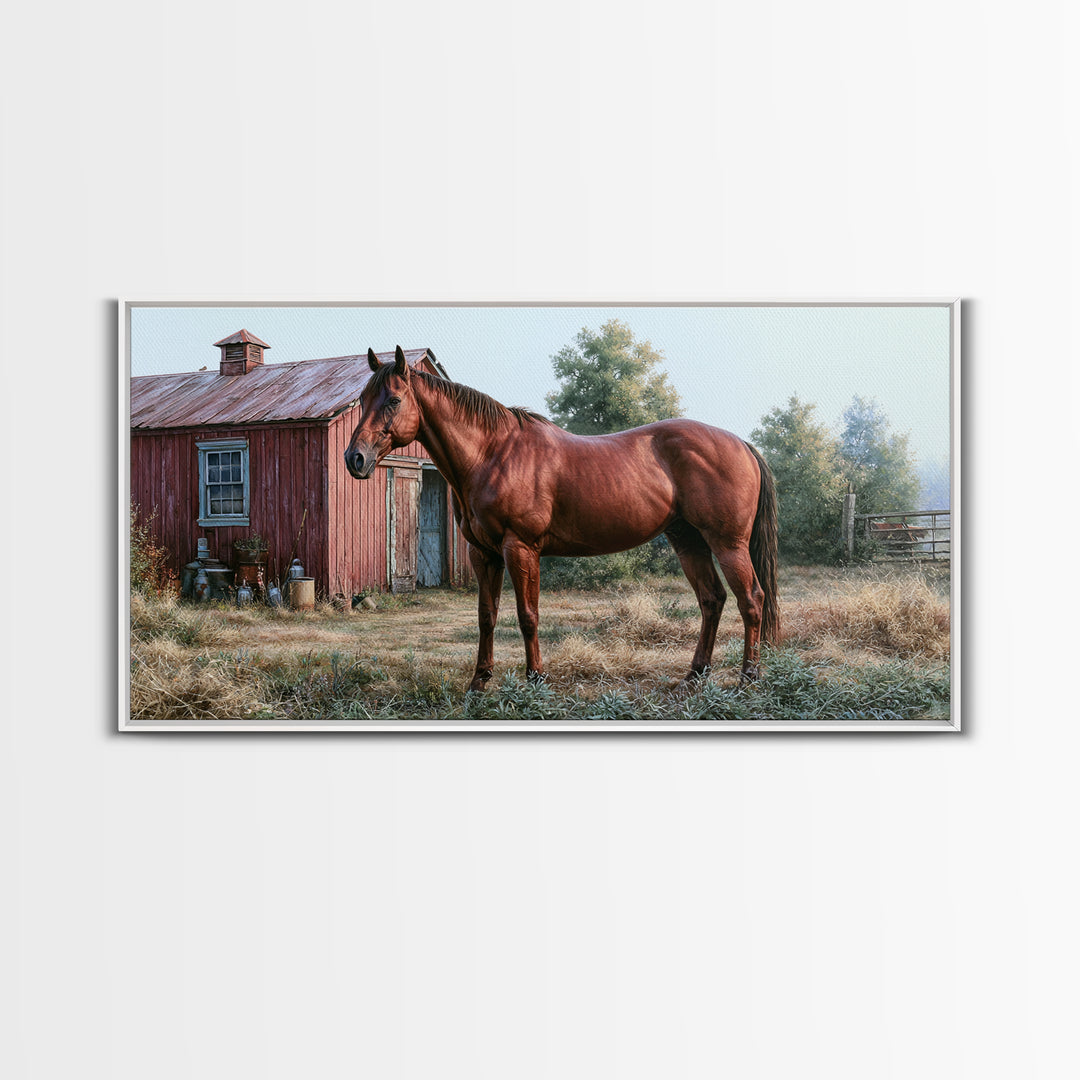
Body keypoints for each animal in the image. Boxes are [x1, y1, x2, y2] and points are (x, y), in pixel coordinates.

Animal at [345, 346, 780, 692]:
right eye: (363, 399)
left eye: (393, 400)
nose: (355, 459)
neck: (492, 454)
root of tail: (740, 443)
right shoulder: (483, 553)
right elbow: (487, 617)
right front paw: (479, 682)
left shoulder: (520, 548)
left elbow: (528, 616)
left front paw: (536, 679)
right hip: (688, 541)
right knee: (712, 600)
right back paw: (694, 676)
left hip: (728, 544)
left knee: (751, 600)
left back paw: (748, 678)